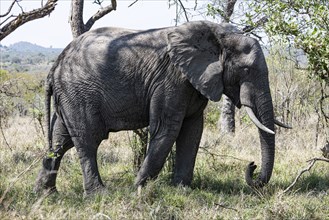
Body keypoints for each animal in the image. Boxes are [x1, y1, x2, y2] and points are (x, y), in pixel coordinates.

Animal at [32, 21, 284, 196]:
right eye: (246, 70)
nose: (251, 165)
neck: (217, 34)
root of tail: (55, 65)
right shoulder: (171, 78)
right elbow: (167, 129)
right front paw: (137, 189)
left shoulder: (191, 81)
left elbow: (193, 130)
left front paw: (181, 189)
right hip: (79, 92)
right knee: (88, 139)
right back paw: (98, 194)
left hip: (69, 95)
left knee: (60, 140)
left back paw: (45, 194)